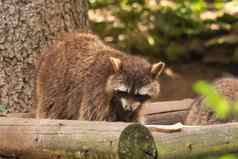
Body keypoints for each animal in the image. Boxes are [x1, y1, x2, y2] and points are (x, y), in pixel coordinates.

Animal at [34, 31, 165, 122]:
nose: (128, 108)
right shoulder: (96, 90)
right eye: (124, 92)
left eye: (139, 95)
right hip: (54, 85)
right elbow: (94, 118)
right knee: (51, 109)